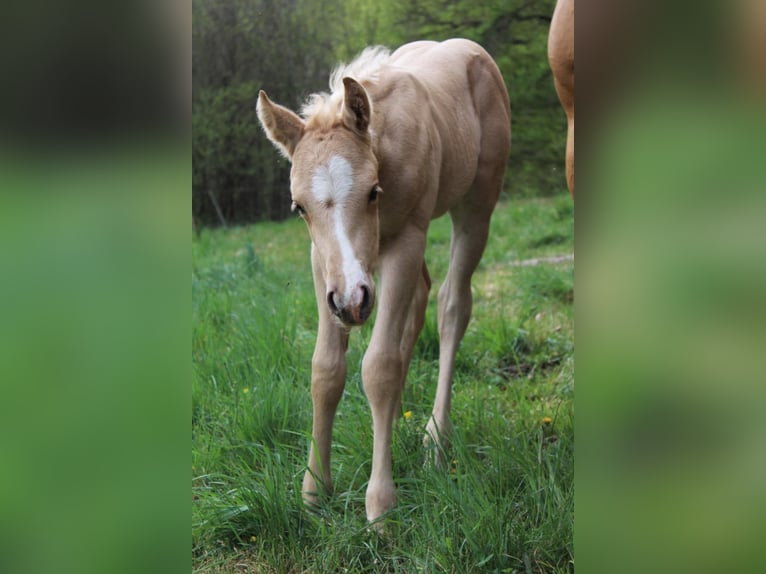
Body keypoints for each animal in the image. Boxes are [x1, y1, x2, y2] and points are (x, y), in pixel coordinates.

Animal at [257, 38, 511, 524]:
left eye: (371, 192)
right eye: (299, 207)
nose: (351, 304)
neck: (385, 150)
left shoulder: (406, 239)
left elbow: (378, 366)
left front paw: (380, 506)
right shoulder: (322, 263)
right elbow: (325, 369)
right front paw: (314, 491)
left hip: (477, 205)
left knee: (452, 304)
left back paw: (435, 436)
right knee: (419, 302)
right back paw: (394, 423)